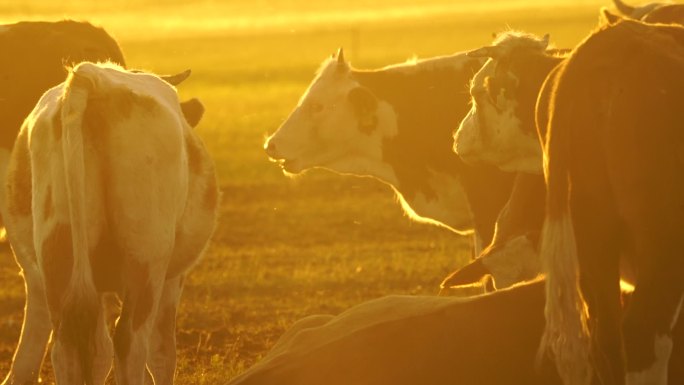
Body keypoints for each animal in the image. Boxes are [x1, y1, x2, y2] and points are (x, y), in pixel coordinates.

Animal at [2, 62, 216, 384]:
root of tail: (92, 77)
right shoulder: (172, 278)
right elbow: (163, 352)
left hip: (57, 251)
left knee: (67, 345)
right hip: (147, 260)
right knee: (130, 342)